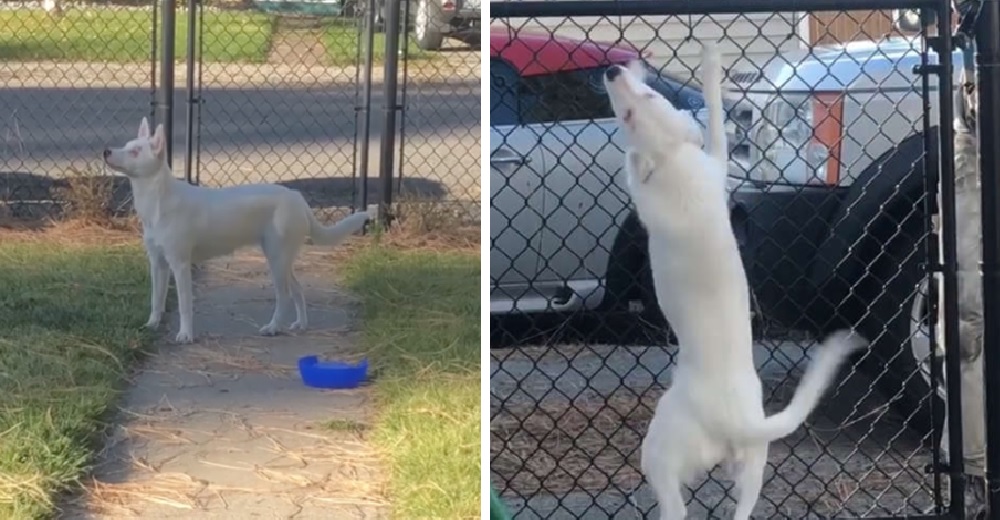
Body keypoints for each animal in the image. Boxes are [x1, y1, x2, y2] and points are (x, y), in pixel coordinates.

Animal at [103, 119, 370, 346]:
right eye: (126, 145)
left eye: (136, 152)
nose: (106, 152)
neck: (158, 200)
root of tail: (298, 198)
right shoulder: (158, 263)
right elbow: (156, 300)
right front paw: (152, 325)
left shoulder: (180, 265)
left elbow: (184, 305)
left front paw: (185, 335)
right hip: (282, 259)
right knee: (297, 290)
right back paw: (300, 324)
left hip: (276, 259)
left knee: (284, 296)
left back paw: (273, 327)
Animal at [604, 45, 872, 520]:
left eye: (643, 103)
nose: (613, 69)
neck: (673, 160)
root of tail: (734, 420)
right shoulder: (714, 164)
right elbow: (713, 122)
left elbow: (703, 122)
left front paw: (710, 66)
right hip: (752, 467)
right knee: (742, 506)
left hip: (660, 452)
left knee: (675, 506)